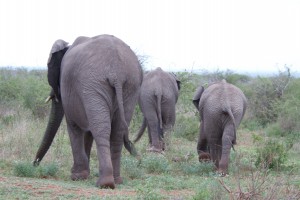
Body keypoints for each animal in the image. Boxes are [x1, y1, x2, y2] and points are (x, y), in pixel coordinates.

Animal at [33, 34, 144, 189]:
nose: (34, 164)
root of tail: (117, 72)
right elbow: (88, 130)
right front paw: (84, 175)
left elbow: (74, 126)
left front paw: (77, 176)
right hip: (130, 87)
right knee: (116, 132)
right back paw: (116, 181)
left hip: (93, 83)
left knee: (101, 129)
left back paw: (105, 183)